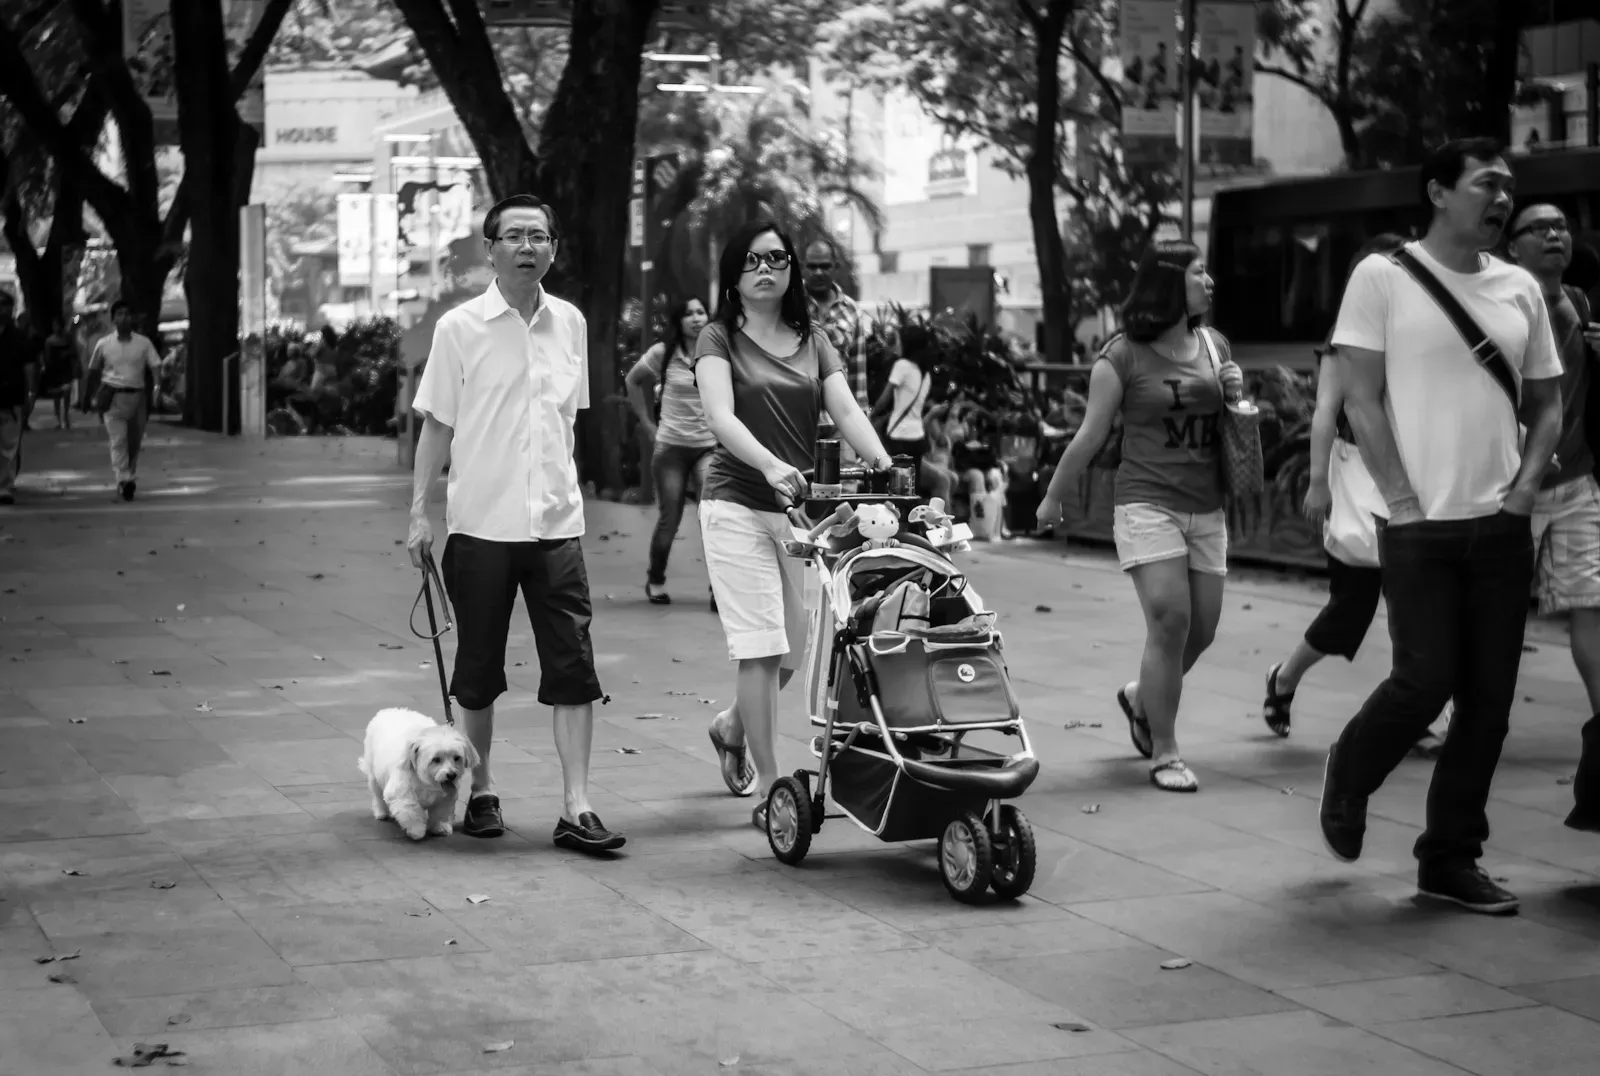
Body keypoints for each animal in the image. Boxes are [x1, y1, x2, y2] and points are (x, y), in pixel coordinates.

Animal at [353, 704, 470, 839]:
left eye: (456, 758)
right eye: (436, 759)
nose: (451, 775)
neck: (427, 782)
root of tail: (388, 711)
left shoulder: (445, 798)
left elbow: (440, 813)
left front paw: (440, 827)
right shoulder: (402, 795)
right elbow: (412, 813)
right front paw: (417, 831)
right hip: (374, 778)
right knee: (378, 796)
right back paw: (381, 813)